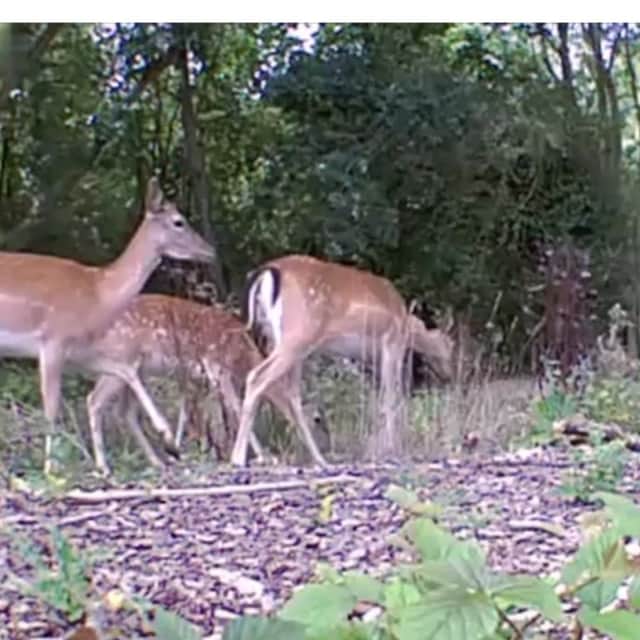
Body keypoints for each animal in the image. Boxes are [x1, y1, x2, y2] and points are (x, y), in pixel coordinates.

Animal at [0, 177, 216, 474]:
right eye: (178, 221)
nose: (211, 251)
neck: (98, 293)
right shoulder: (53, 341)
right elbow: (52, 408)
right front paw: (51, 469)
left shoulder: (82, 351)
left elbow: (125, 373)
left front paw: (167, 440)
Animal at [82, 294, 327, 475]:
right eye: (317, 418)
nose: (326, 444)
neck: (243, 358)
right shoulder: (217, 367)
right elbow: (237, 409)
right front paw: (260, 456)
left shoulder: (199, 379)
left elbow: (194, 412)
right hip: (119, 361)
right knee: (94, 400)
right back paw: (104, 466)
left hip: (137, 370)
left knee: (125, 412)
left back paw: (158, 461)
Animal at [230, 254, 454, 467]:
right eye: (450, 345)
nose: (448, 375)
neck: (406, 324)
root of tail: (266, 271)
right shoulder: (392, 345)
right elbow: (392, 397)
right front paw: (392, 449)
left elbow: (379, 398)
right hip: (297, 334)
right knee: (258, 377)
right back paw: (238, 458)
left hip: (281, 340)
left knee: (290, 392)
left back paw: (319, 458)